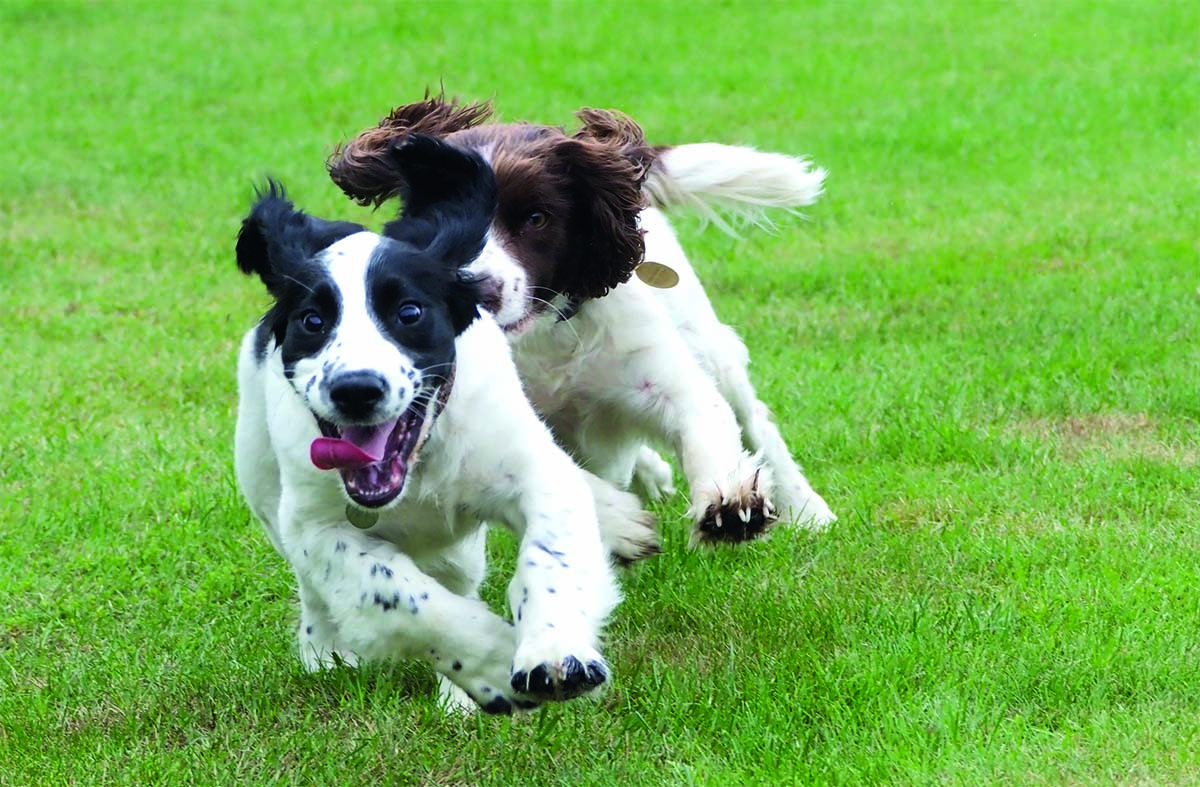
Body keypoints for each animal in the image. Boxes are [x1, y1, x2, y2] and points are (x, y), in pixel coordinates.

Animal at [230, 135, 638, 715]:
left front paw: (553, 654)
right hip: (264, 481)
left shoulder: (531, 471)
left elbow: (549, 557)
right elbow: (399, 596)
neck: (420, 464)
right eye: (313, 321)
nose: (356, 388)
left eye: (409, 312)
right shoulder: (318, 528)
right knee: (319, 591)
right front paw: (493, 664)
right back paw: (325, 651)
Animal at [326, 95, 835, 544]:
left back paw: (808, 509)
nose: (477, 290)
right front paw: (618, 521)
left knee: (752, 417)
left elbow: (704, 420)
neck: (544, 338)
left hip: (707, 341)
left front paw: (730, 502)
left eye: (536, 218)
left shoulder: (659, 370)